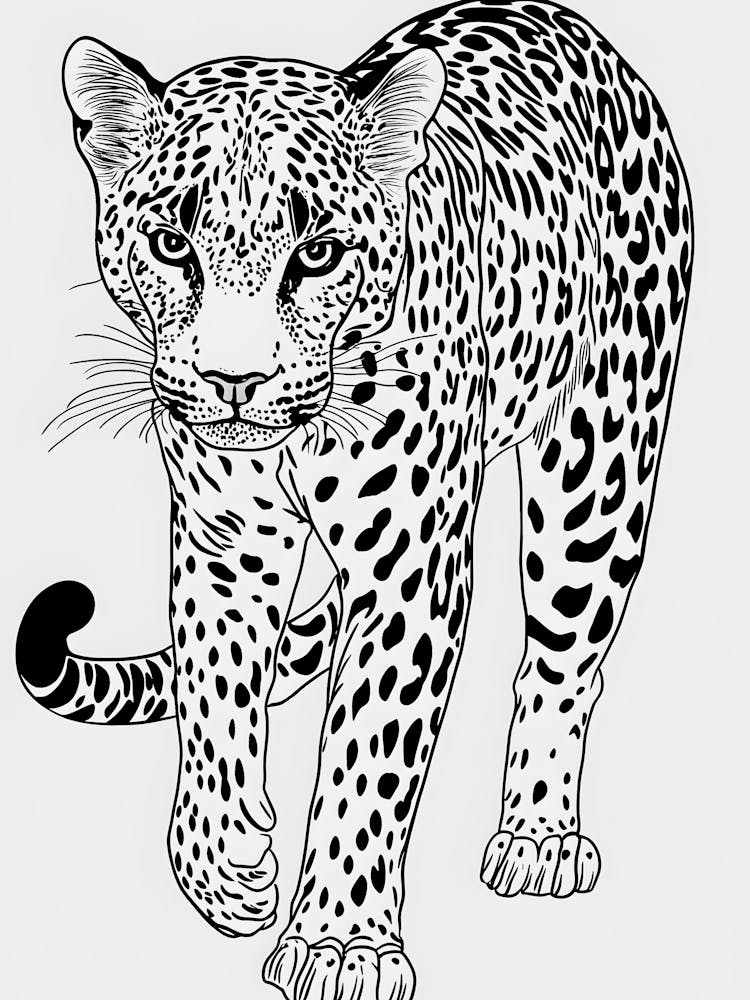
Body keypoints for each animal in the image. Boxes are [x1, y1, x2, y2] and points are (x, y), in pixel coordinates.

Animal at [16, 2, 693, 998]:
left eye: (318, 254)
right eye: (173, 246)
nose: (235, 381)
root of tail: (576, 28)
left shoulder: (410, 572)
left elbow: (368, 755)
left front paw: (342, 943)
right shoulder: (226, 548)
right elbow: (214, 702)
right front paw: (224, 860)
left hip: (596, 469)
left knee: (564, 658)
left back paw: (536, 834)